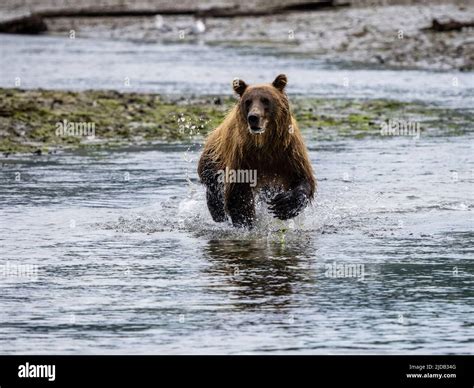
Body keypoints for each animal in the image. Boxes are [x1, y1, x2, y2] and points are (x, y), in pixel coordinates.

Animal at [196, 73, 314, 227]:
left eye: (265, 100)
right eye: (248, 101)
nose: (253, 117)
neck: (264, 143)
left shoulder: (289, 152)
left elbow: (302, 178)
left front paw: (284, 205)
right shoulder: (243, 157)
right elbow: (239, 195)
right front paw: (246, 222)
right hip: (212, 163)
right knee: (215, 196)